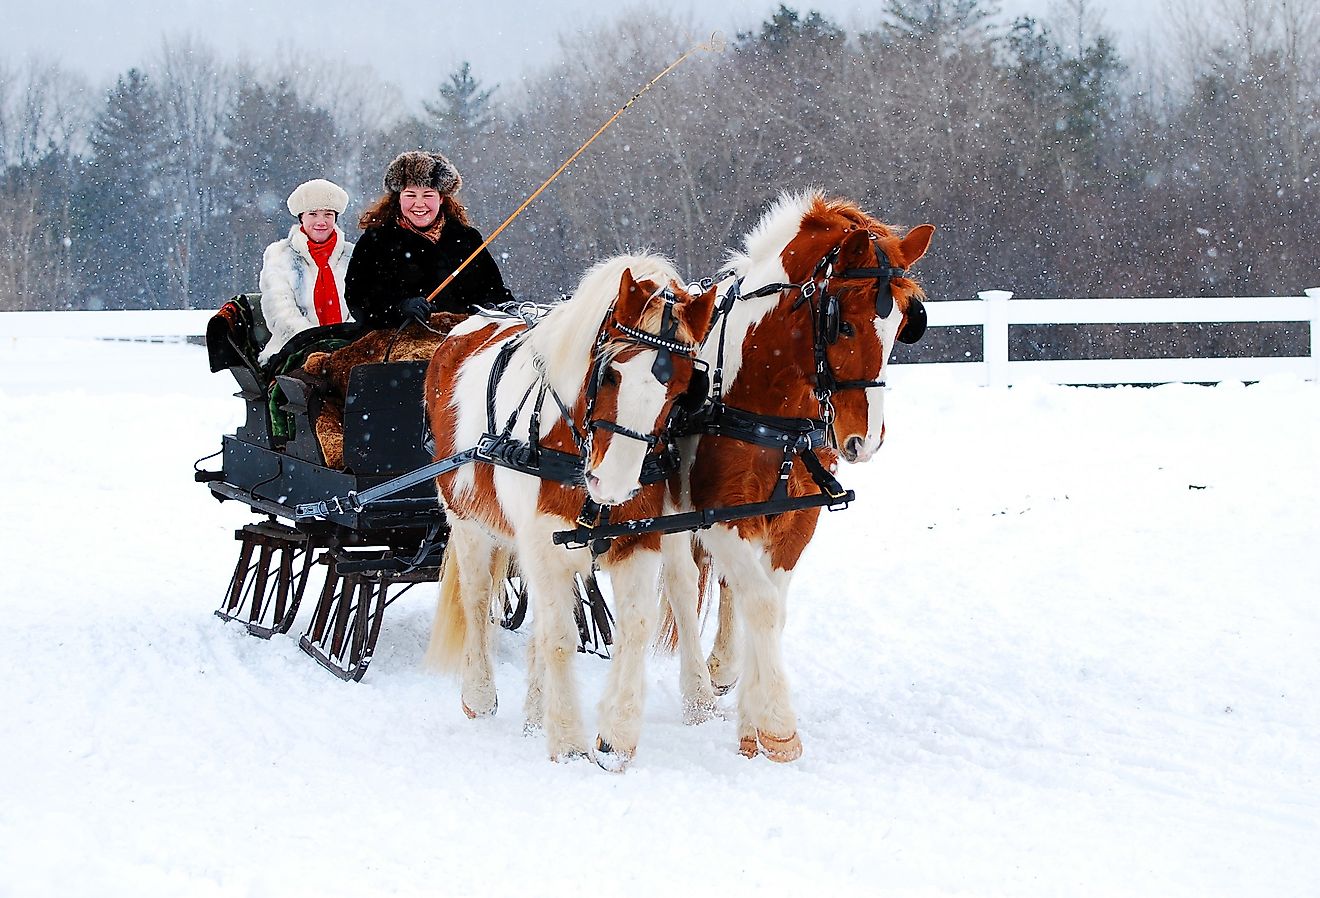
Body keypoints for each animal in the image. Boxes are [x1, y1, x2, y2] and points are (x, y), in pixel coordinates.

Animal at [419, 254, 712, 771]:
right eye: (609, 372)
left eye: (680, 390)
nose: (612, 484)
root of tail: (465, 325)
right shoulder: (540, 542)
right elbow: (558, 635)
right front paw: (569, 742)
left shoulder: (640, 537)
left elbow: (634, 626)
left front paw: (614, 738)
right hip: (468, 520)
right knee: (476, 598)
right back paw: (479, 694)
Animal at [657, 192, 929, 760]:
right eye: (843, 324)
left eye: (902, 327)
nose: (865, 441)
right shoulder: (720, 515)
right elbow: (760, 601)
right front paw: (778, 725)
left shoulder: (795, 518)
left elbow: (770, 605)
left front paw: (752, 718)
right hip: (668, 507)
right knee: (682, 582)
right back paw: (697, 696)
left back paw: (723, 668)